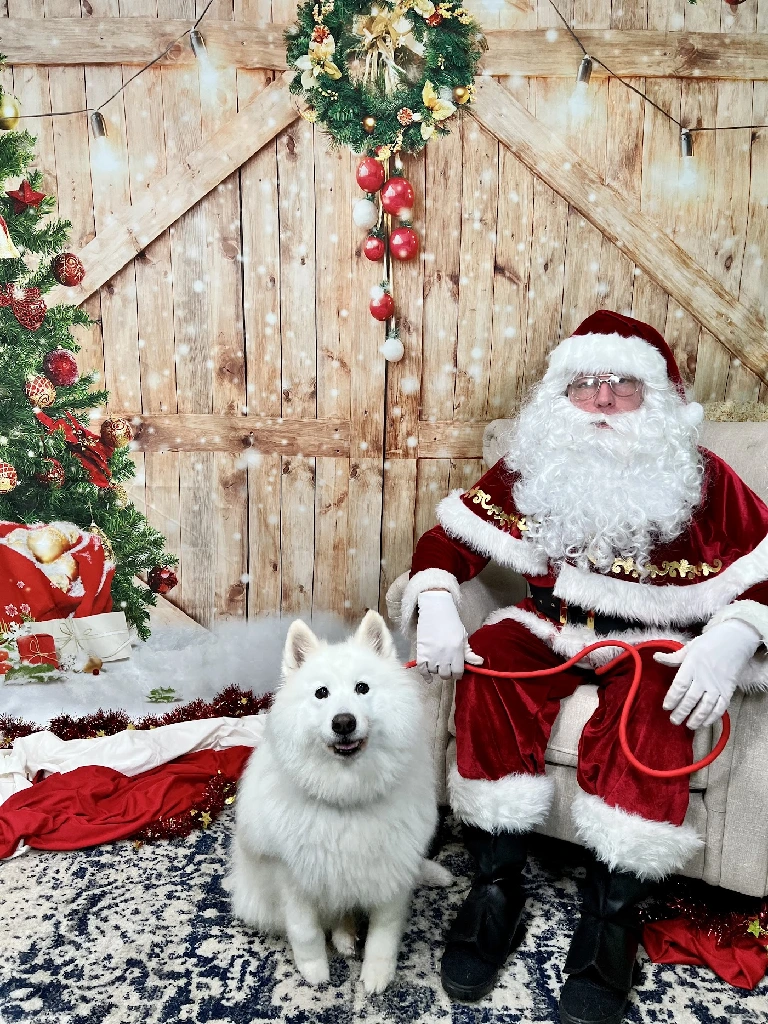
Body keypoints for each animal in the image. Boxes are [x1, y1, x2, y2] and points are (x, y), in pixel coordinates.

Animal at [227, 606, 450, 991]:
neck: (347, 799)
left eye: (362, 688)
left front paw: (376, 975)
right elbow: (305, 932)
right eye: (321, 693)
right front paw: (315, 971)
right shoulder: (293, 878)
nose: (343, 722)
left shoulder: (392, 874)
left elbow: (383, 934)